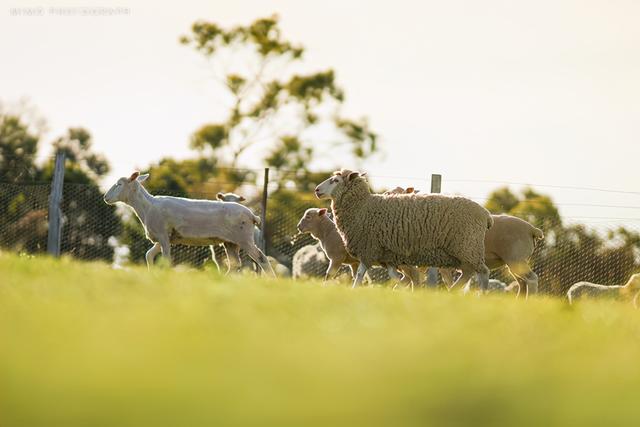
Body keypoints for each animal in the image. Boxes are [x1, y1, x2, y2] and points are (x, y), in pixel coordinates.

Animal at [103, 171, 276, 276]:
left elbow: (166, 260)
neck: (147, 207)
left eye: (119, 184)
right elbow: (148, 255)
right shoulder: (164, 237)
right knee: (235, 264)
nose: (105, 197)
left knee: (261, 259)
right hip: (231, 242)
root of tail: (253, 216)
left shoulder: (163, 236)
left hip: (244, 238)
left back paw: (271, 280)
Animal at [314, 169, 490, 290]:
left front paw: (354, 289)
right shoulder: (387, 254)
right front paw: (400, 289)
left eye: (335, 180)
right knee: (468, 273)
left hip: (467, 247)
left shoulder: (368, 249)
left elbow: (359, 275)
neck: (363, 207)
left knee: (482, 273)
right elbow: (395, 276)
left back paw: (479, 294)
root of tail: (485, 214)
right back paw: (455, 291)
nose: (316, 190)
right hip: (465, 251)